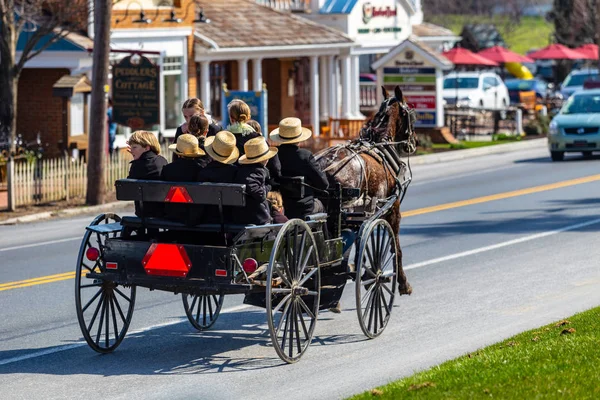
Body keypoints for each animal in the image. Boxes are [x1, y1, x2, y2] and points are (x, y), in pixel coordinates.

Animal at [314, 84, 418, 296]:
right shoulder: (392, 210)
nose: (414, 142)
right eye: (411, 115)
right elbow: (395, 248)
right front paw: (402, 283)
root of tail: (323, 166)